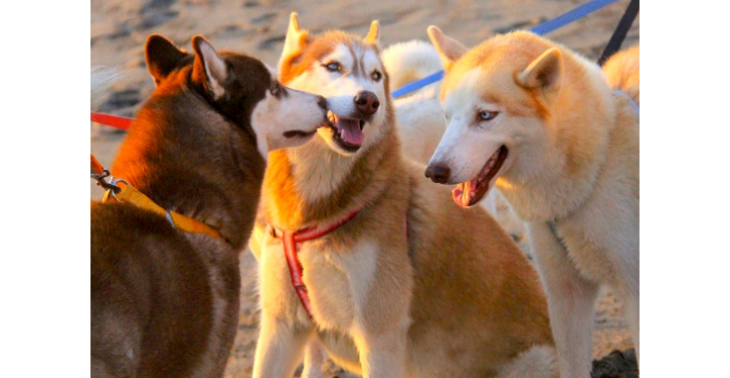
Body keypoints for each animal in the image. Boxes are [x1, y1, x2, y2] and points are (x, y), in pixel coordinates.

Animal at [249, 14, 556, 378]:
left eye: (375, 76)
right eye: (333, 66)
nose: (369, 100)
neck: (318, 209)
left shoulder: (378, 335)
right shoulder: (281, 327)